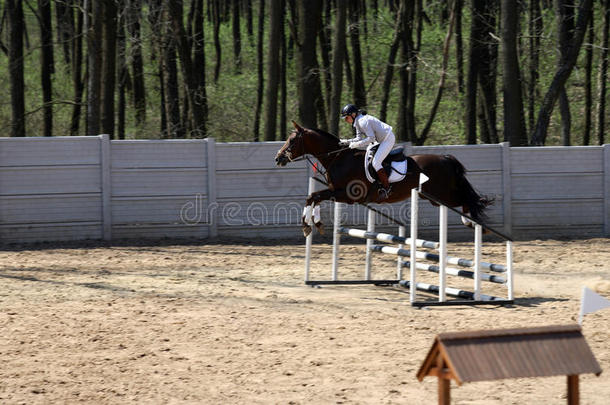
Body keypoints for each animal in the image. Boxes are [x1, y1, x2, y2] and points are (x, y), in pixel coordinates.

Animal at [274, 122, 492, 237]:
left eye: (292, 141)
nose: (278, 158)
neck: (338, 158)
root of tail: (445, 158)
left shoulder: (348, 195)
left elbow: (314, 196)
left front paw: (307, 225)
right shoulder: (335, 191)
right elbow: (314, 197)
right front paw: (316, 224)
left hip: (441, 194)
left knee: (466, 200)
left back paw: (473, 222)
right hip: (434, 198)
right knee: (465, 199)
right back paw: (470, 221)